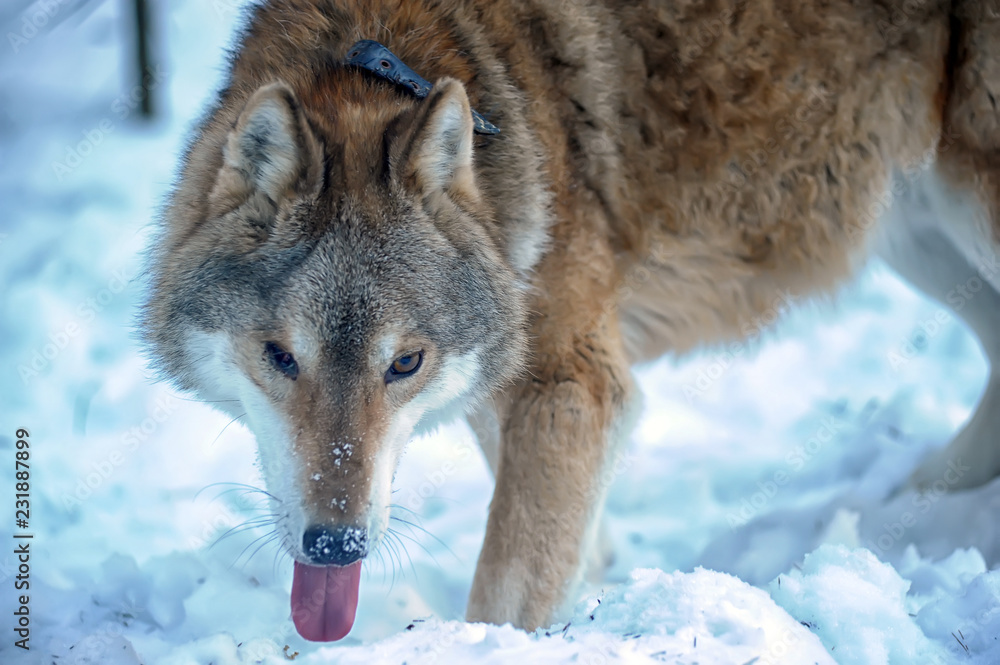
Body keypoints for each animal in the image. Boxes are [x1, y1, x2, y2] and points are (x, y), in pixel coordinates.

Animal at [142, 0, 1000, 642]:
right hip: (917, 230)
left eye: (405, 364)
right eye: (281, 356)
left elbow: (509, 587)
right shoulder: (512, 379)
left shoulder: (570, 382)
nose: (337, 543)